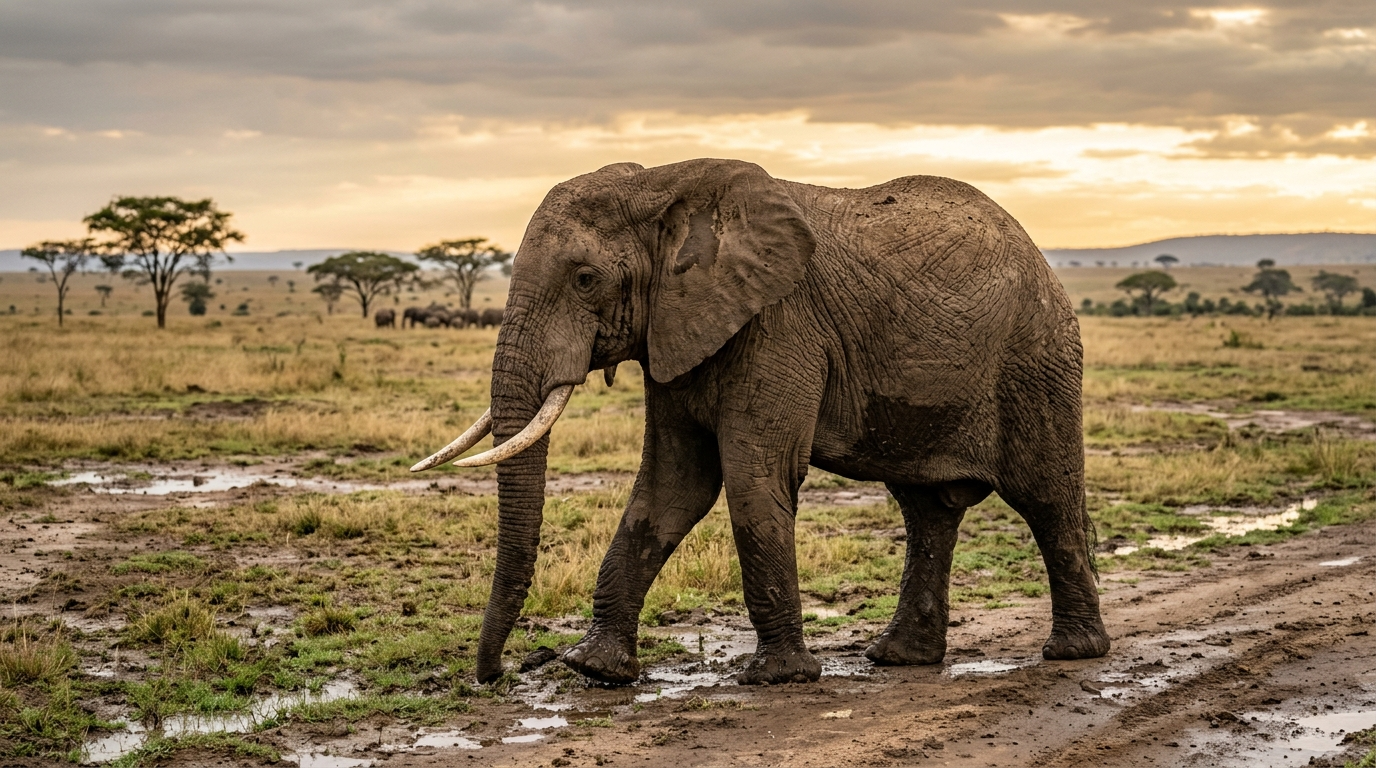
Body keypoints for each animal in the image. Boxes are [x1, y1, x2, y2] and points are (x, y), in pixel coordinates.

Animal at [411, 158, 1109, 687]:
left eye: (586, 278)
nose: (500, 674)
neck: (664, 186)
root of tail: (1039, 254)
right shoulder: (677, 329)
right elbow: (671, 487)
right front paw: (596, 670)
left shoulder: (779, 324)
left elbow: (752, 477)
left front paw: (777, 678)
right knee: (926, 510)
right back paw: (900, 659)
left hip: (1035, 357)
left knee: (1046, 497)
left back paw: (1072, 653)